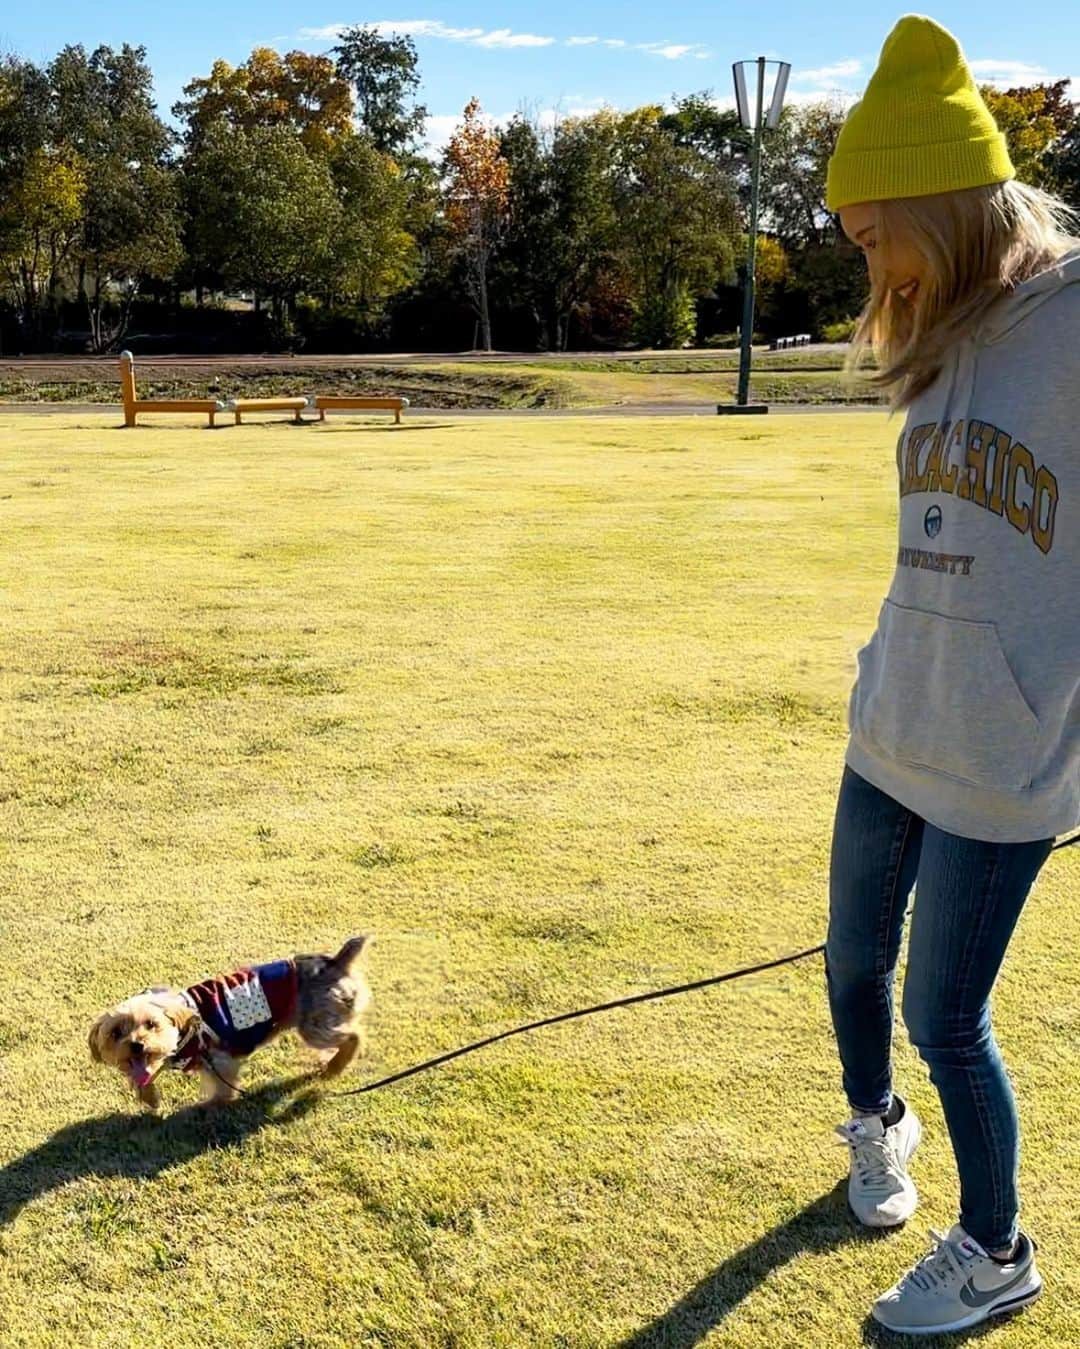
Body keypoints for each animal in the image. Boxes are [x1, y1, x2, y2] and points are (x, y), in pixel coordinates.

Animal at [86, 933, 372, 1111]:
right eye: (115, 1033)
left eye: (150, 1024)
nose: (137, 1045)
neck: (185, 1028)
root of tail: (336, 961)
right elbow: (145, 1075)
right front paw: (150, 1098)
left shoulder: (219, 1059)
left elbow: (222, 1089)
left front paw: (209, 1106)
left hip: (314, 1025)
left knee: (354, 1036)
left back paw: (334, 1066)